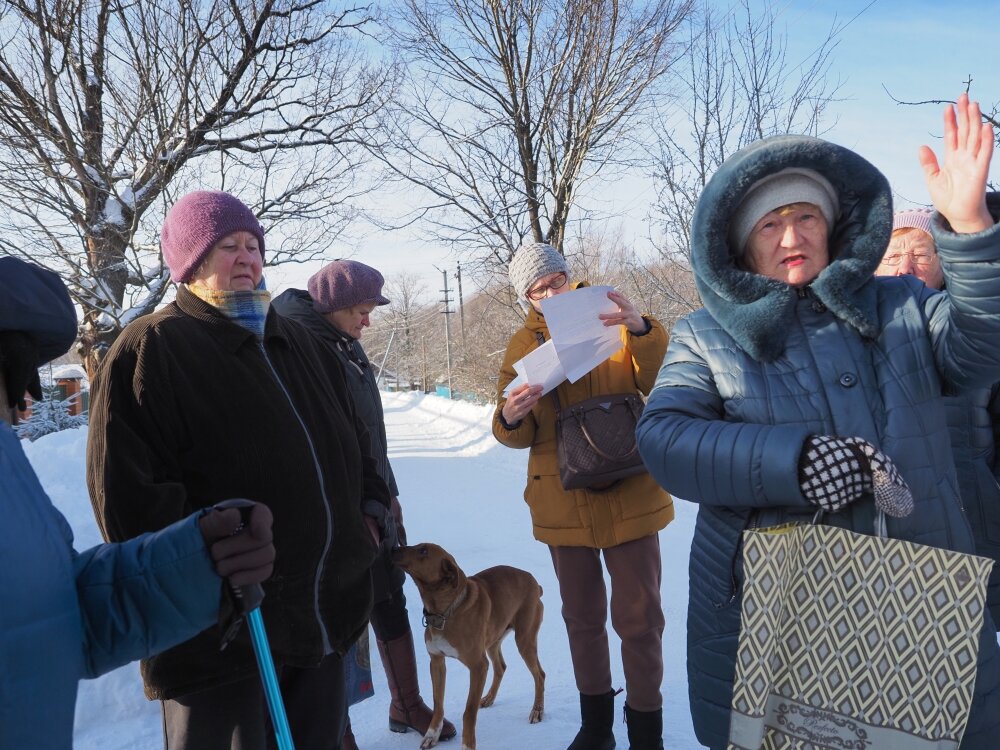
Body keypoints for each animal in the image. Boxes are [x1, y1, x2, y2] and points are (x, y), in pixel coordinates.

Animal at [392, 544, 548, 748]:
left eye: (423, 551)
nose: (392, 548)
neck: (444, 613)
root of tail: (535, 583)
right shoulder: (437, 662)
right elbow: (438, 704)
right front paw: (432, 734)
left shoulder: (478, 667)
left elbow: (469, 712)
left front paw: (467, 744)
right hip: (493, 640)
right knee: (501, 667)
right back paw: (489, 698)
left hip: (524, 639)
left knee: (539, 675)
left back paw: (537, 710)